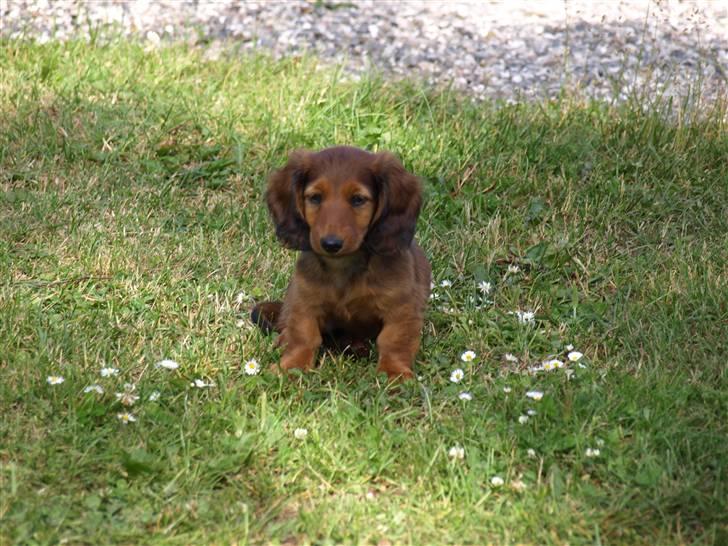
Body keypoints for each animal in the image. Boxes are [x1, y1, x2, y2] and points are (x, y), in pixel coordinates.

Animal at [253, 144, 430, 378]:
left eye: (358, 199)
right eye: (315, 197)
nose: (331, 244)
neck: (344, 266)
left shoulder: (401, 308)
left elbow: (393, 341)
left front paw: (394, 373)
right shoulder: (304, 301)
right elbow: (303, 336)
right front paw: (292, 366)